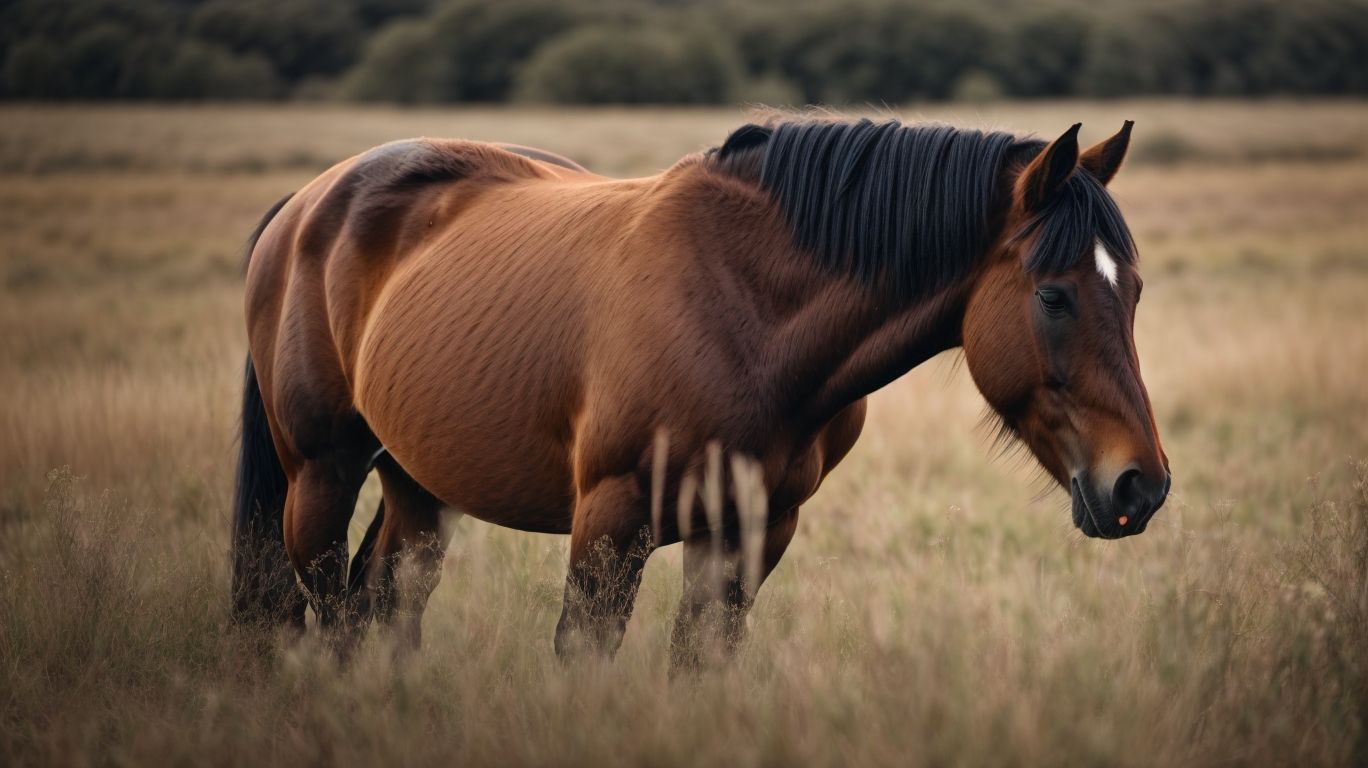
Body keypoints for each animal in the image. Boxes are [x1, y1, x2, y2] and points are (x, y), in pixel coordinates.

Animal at [230, 116, 1170, 666]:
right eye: (1053, 296)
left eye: (1134, 291)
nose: (1142, 486)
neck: (744, 312)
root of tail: (307, 203)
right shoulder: (611, 519)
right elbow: (585, 651)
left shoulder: (753, 528)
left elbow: (702, 658)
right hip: (322, 473)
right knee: (324, 612)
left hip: (419, 484)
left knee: (386, 608)